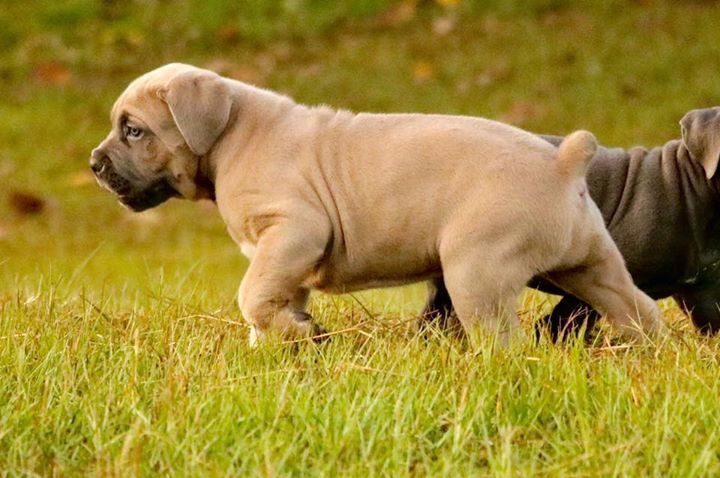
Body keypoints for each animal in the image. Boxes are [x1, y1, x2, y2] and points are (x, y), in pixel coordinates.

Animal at [90, 64, 664, 348]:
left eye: (133, 130)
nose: (94, 164)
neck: (231, 132)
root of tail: (562, 164)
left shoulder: (294, 231)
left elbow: (251, 295)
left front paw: (294, 333)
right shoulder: (284, 256)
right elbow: (272, 298)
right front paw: (279, 344)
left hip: (476, 273)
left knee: (503, 341)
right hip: (593, 264)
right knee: (639, 311)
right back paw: (653, 360)